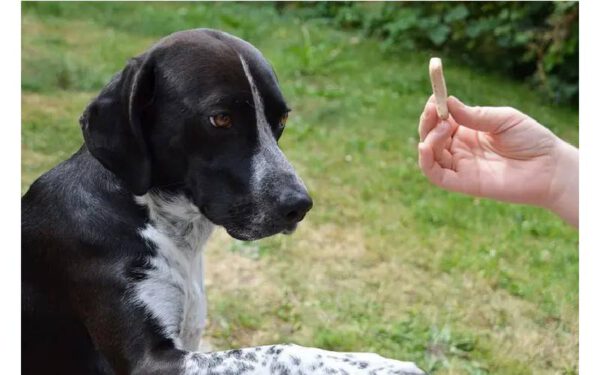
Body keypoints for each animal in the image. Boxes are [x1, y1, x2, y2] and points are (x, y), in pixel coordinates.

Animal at [19, 30, 422, 375]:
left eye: (281, 119)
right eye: (221, 119)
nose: (299, 205)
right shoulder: (151, 362)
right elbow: (280, 351)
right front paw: (381, 365)